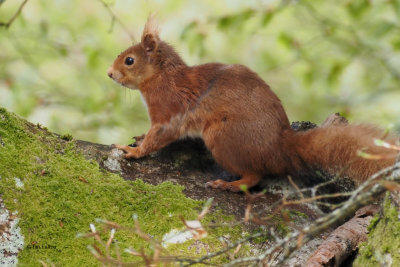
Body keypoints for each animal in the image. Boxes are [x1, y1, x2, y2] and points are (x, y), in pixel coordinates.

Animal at [106, 17, 396, 193]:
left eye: (129, 60)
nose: (109, 73)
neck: (162, 77)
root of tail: (281, 148)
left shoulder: (169, 108)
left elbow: (159, 135)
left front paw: (134, 151)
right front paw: (138, 137)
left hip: (223, 138)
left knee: (255, 176)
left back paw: (231, 184)